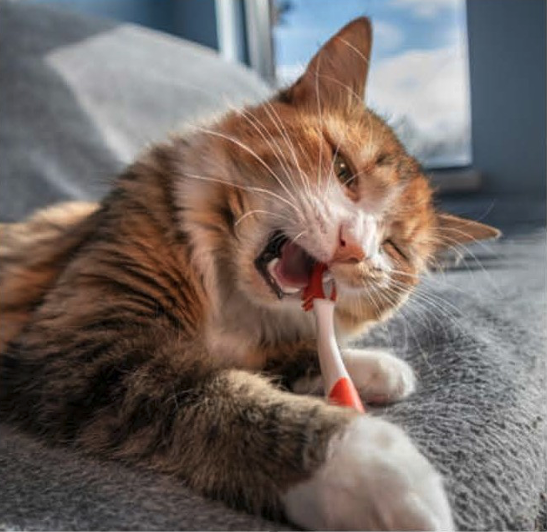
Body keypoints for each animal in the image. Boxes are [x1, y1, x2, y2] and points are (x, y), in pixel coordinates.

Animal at [0, 18, 500, 528]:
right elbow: (223, 396)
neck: (230, 299)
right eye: (344, 170)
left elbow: (290, 356)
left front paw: (374, 368)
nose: (356, 248)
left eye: (392, 248)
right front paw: (369, 466)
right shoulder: (96, 342)